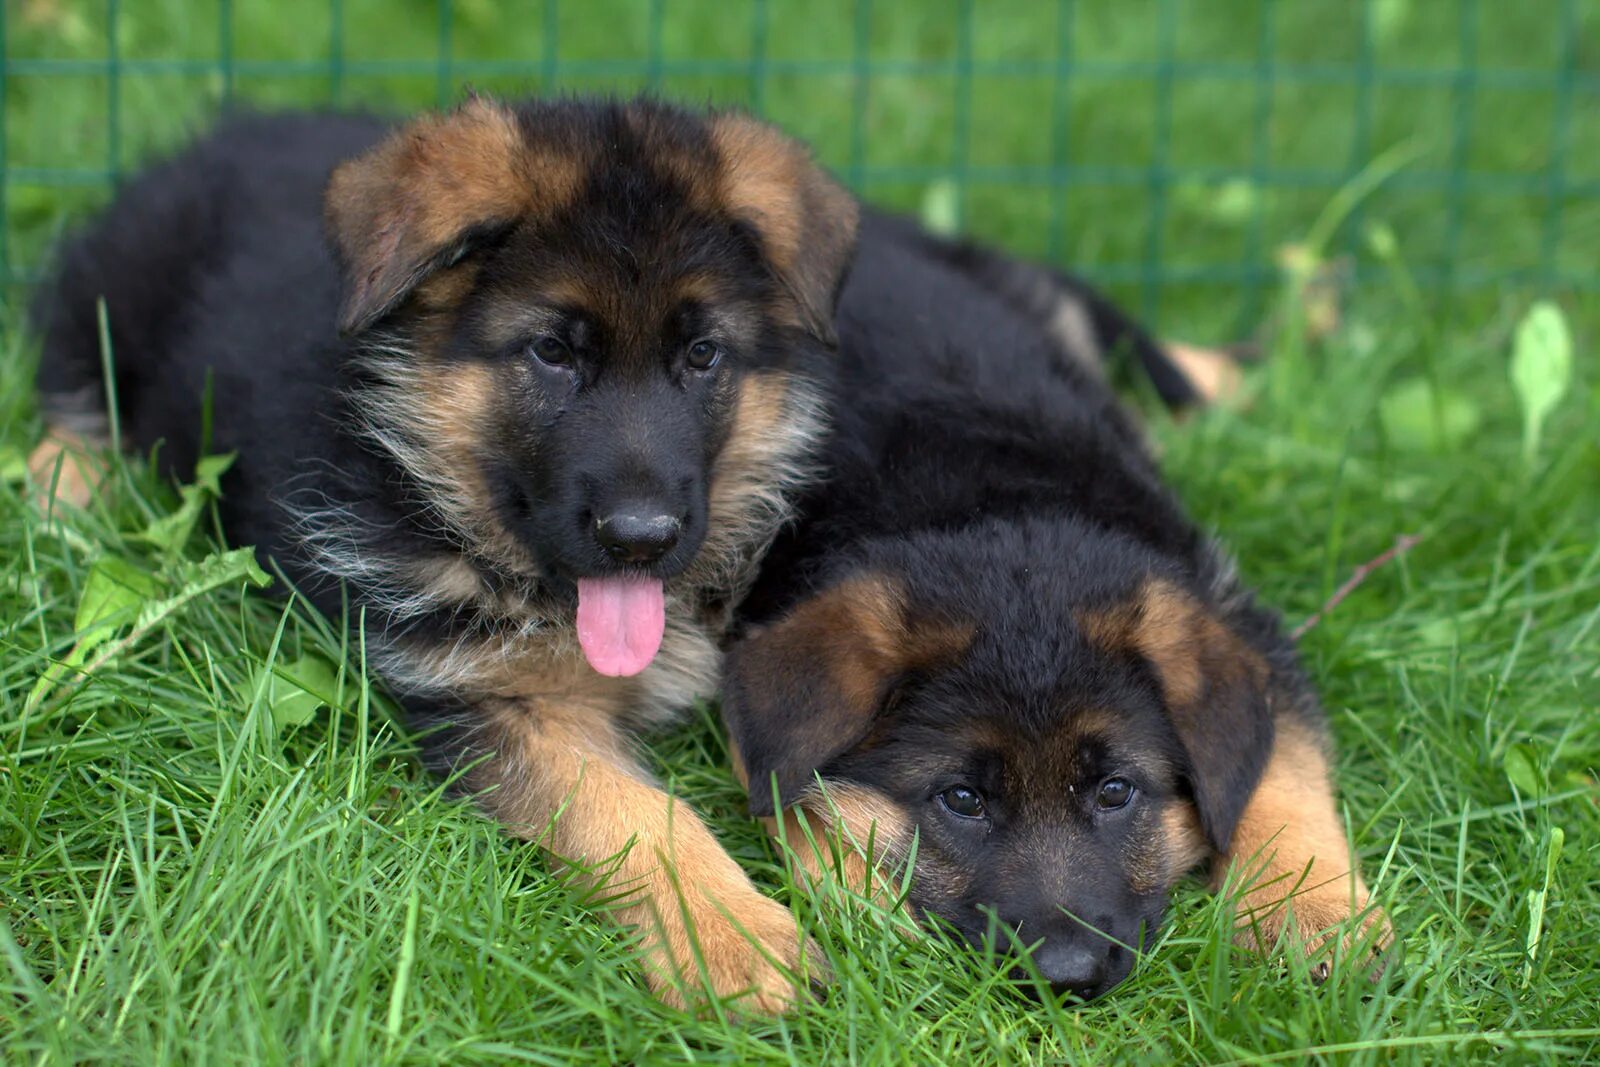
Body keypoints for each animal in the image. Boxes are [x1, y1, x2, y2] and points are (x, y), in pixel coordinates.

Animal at [28, 95, 864, 1017]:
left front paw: (865, 870)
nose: (640, 538)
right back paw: (57, 504)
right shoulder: (491, 696)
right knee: (76, 396)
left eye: (703, 354)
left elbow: (796, 744)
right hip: (113, 295)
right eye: (552, 351)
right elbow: (634, 811)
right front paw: (731, 939)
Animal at [726, 217, 1388, 1004]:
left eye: (1115, 791)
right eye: (962, 799)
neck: (998, 505)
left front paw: (1312, 912)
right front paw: (864, 896)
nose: (1068, 976)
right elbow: (796, 802)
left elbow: (1278, 775)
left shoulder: (1249, 633)